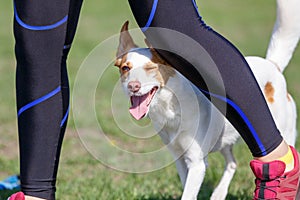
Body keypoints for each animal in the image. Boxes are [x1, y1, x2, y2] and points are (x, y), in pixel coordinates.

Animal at [114, 0, 298, 198]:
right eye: (125, 68)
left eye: (150, 68)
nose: (133, 86)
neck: (170, 107)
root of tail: (272, 65)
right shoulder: (179, 159)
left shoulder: (197, 163)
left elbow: (188, 193)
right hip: (224, 139)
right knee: (232, 162)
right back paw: (219, 193)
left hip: (283, 132)